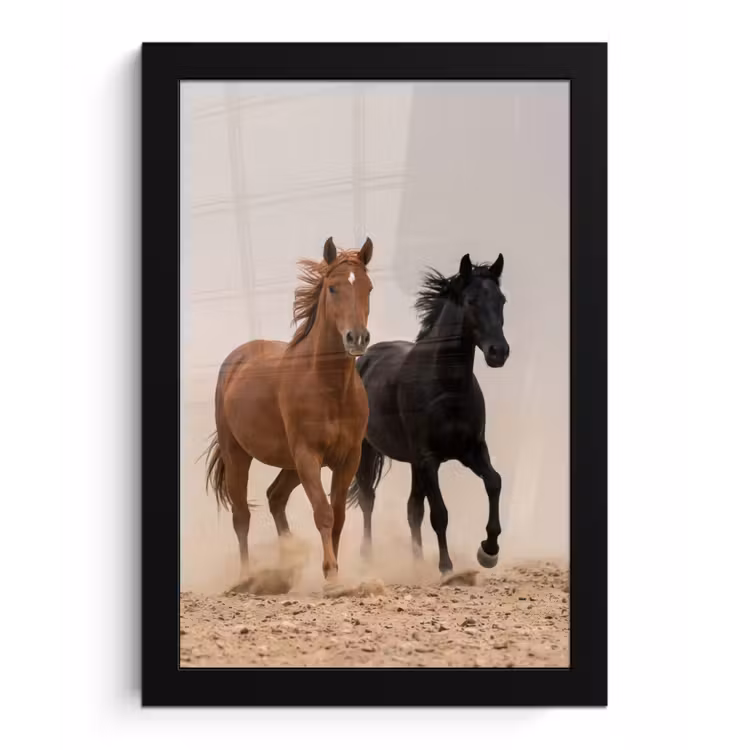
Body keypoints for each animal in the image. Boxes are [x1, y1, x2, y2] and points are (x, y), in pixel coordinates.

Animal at [204, 237, 375, 582]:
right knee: (241, 515)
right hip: (238, 454)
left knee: (275, 497)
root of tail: (237, 358)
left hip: (289, 464)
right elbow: (323, 513)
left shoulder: (347, 459)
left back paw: (287, 563)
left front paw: (335, 572)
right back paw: (248, 576)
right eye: (333, 288)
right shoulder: (308, 456)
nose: (357, 338)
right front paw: (331, 574)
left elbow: (338, 516)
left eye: (369, 288)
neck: (329, 388)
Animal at [347, 252, 510, 574]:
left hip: (412, 462)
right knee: (369, 498)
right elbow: (440, 513)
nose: (499, 352)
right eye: (471, 300)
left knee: (412, 509)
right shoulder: (429, 458)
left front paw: (489, 550)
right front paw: (446, 567)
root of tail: (365, 359)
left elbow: (494, 482)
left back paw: (417, 561)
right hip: (367, 450)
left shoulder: (472, 450)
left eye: (502, 300)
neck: (446, 386)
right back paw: (368, 557)